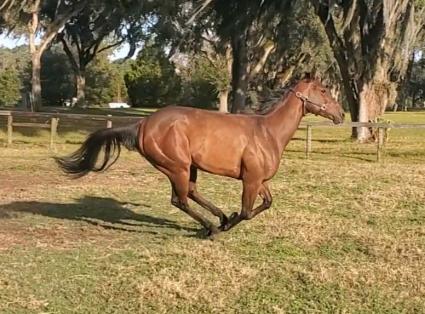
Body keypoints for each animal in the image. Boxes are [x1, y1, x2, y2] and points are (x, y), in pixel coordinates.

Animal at [54, 79, 342, 238]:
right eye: (323, 90)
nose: (340, 114)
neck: (267, 132)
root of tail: (143, 124)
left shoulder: (260, 180)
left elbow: (267, 203)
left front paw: (227, 219)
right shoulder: (250, 180)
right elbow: (247, 212)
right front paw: (226, 226)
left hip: (188, 166)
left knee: (190, 193)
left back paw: (220, 217)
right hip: (177, 166)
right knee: (180, 199)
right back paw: (212, 227)